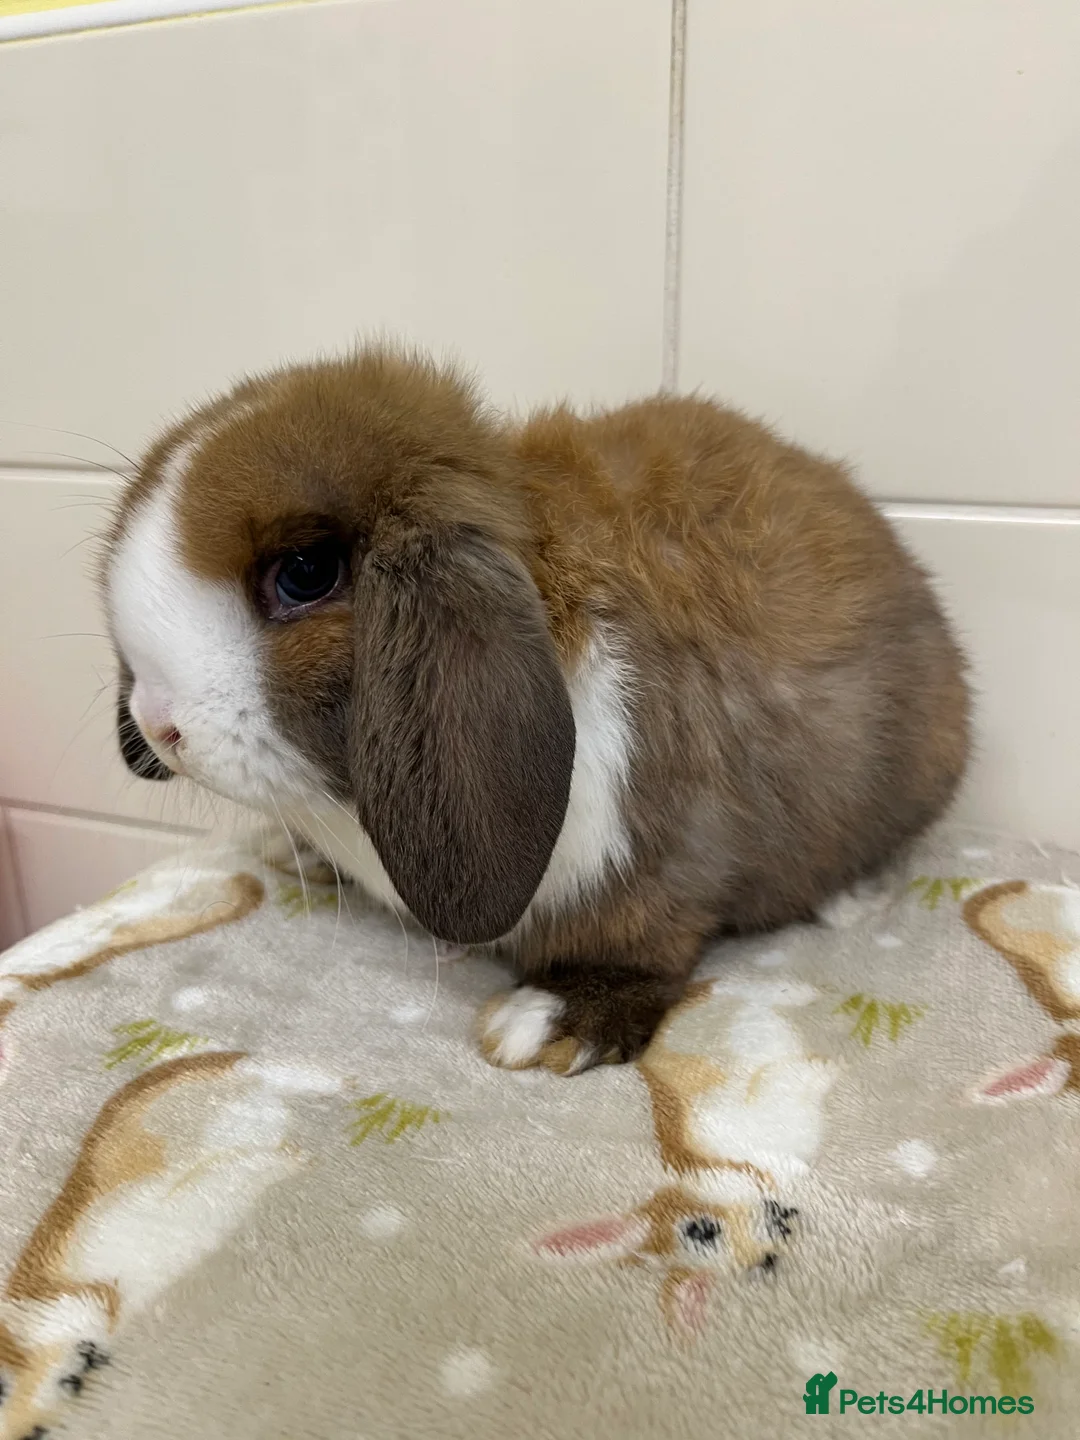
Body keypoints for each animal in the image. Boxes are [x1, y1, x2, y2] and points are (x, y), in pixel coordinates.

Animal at [101, 345, 970, 1074]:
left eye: (306, 572)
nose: (158, 726)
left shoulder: (659, 862)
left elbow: (639, 946)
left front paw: (545, 1022)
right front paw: (297, 853)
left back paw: (849, 899)